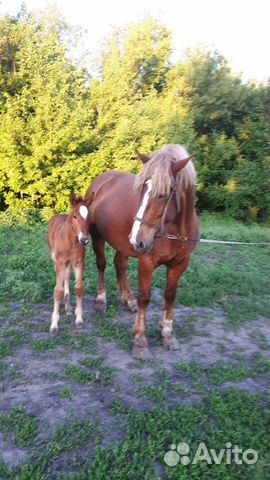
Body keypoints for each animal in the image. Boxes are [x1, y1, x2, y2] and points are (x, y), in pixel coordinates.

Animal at [47, 191, 90, 334]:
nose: (85, 240)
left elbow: (79, 287)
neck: (71, 240)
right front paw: (54, 324)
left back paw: (68, 307)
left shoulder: (78, 262)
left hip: (69, 264)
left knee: (66, 276)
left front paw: (79, 318)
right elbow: (57, 291)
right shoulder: (60, 262)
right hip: (55, 259)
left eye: (89, 215)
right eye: (75, 216)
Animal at [85, 144, 199, 358]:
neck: (174, 231)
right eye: (141, 190)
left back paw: (128, 300)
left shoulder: (180, 263)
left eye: (163, 194)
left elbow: (170, 295)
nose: (138, 240)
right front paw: (140, 340)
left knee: (120, 266)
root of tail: (100, 180)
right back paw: (101, 299)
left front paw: (167, 334)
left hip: (123, 243)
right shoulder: (146, 262)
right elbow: (145, 298)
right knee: (102, 265)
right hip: (99, 237)